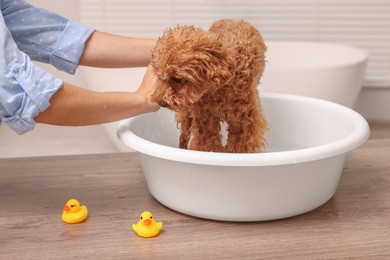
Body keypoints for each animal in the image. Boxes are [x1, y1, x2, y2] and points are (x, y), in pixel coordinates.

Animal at [150, 19, 268, 152]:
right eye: (159, 77)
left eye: (177, 79)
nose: (162, 103)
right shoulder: (206, 119)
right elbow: (210, 145)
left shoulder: (244, 121)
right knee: (184, 134)